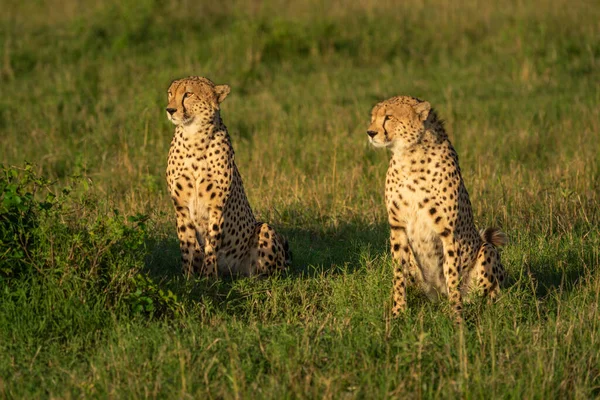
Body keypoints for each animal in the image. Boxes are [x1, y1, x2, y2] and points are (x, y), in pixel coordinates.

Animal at [164, 77, 290, 278]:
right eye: (170, 93)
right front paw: (188, 278)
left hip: (264, 229)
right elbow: (187, 244)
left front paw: (209, 278)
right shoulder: (181, 206)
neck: (194, 139)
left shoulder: (216, 207)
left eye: (188, 94)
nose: (170, 110)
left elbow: (211, 245)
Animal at [366, 95, 506, 324]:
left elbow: (452, 275)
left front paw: (457, 318)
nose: (370, 133)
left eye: (389, 117)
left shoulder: (448, 232)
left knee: (490, 294)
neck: (409, 156)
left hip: (487, 250)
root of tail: (438, 297)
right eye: (373, 117)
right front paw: (397, 313)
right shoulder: (397, 227)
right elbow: (398, 274)